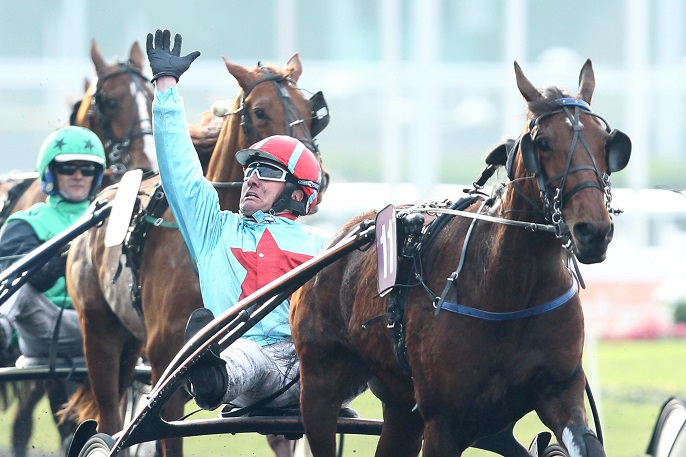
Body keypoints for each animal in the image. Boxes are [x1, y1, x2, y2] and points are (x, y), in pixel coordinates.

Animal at [64, 53, 330, 456]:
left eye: (312, 113)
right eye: (259, 111)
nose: (318, 178)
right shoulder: (166, 372)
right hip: (99, 335)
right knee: (110, 413)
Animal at [290, 58, 636, 454]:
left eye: (606, 143)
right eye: (544, 143)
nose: (593, 230)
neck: (512, 291)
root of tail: (341, 237)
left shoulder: (559, 389)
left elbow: (584, 438)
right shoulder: (445, 420)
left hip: (400, 404)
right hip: (320, 384)